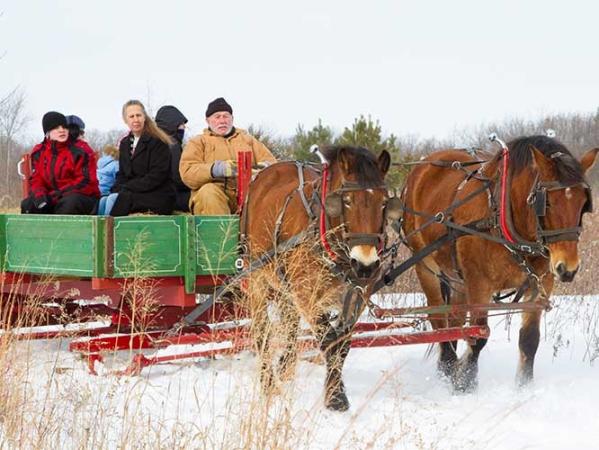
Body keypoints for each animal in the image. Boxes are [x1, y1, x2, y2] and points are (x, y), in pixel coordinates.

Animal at [241, 147, 396, 412]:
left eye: (384, 201)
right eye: (346, 200)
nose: (365, 265)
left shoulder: (356, 297)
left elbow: (343, 345)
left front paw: (334, 390)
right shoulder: (308, 296)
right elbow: (328, 340)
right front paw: (336, 398)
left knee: (290, 326)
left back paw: (285, 368)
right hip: (257, 280)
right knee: (262, 334)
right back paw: (270, 385)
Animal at [400, 135, 596, 392]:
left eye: (583, 203)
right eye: (548, 203)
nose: (568, 268)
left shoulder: (541, 284)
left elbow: (530, 338)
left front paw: (523, 386)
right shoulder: (479, 285)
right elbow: (478, 335)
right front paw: (465, 385)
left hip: (456, 277)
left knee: (454, 321)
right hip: (426, 267)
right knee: (440, 322)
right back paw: (448, 368)